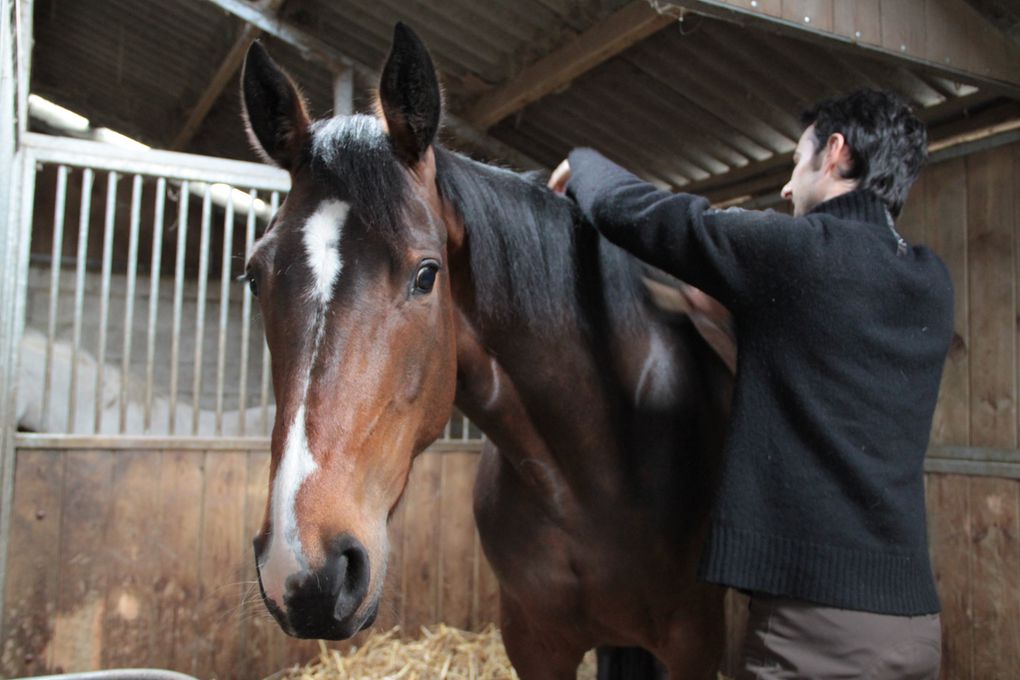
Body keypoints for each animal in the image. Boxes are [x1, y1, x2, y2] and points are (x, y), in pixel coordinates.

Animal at [240, 22, 734, 680]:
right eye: (254, 276)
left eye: (427, 275)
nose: (304, 573)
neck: (592, 473)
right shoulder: (533, 641)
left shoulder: (693, 642)